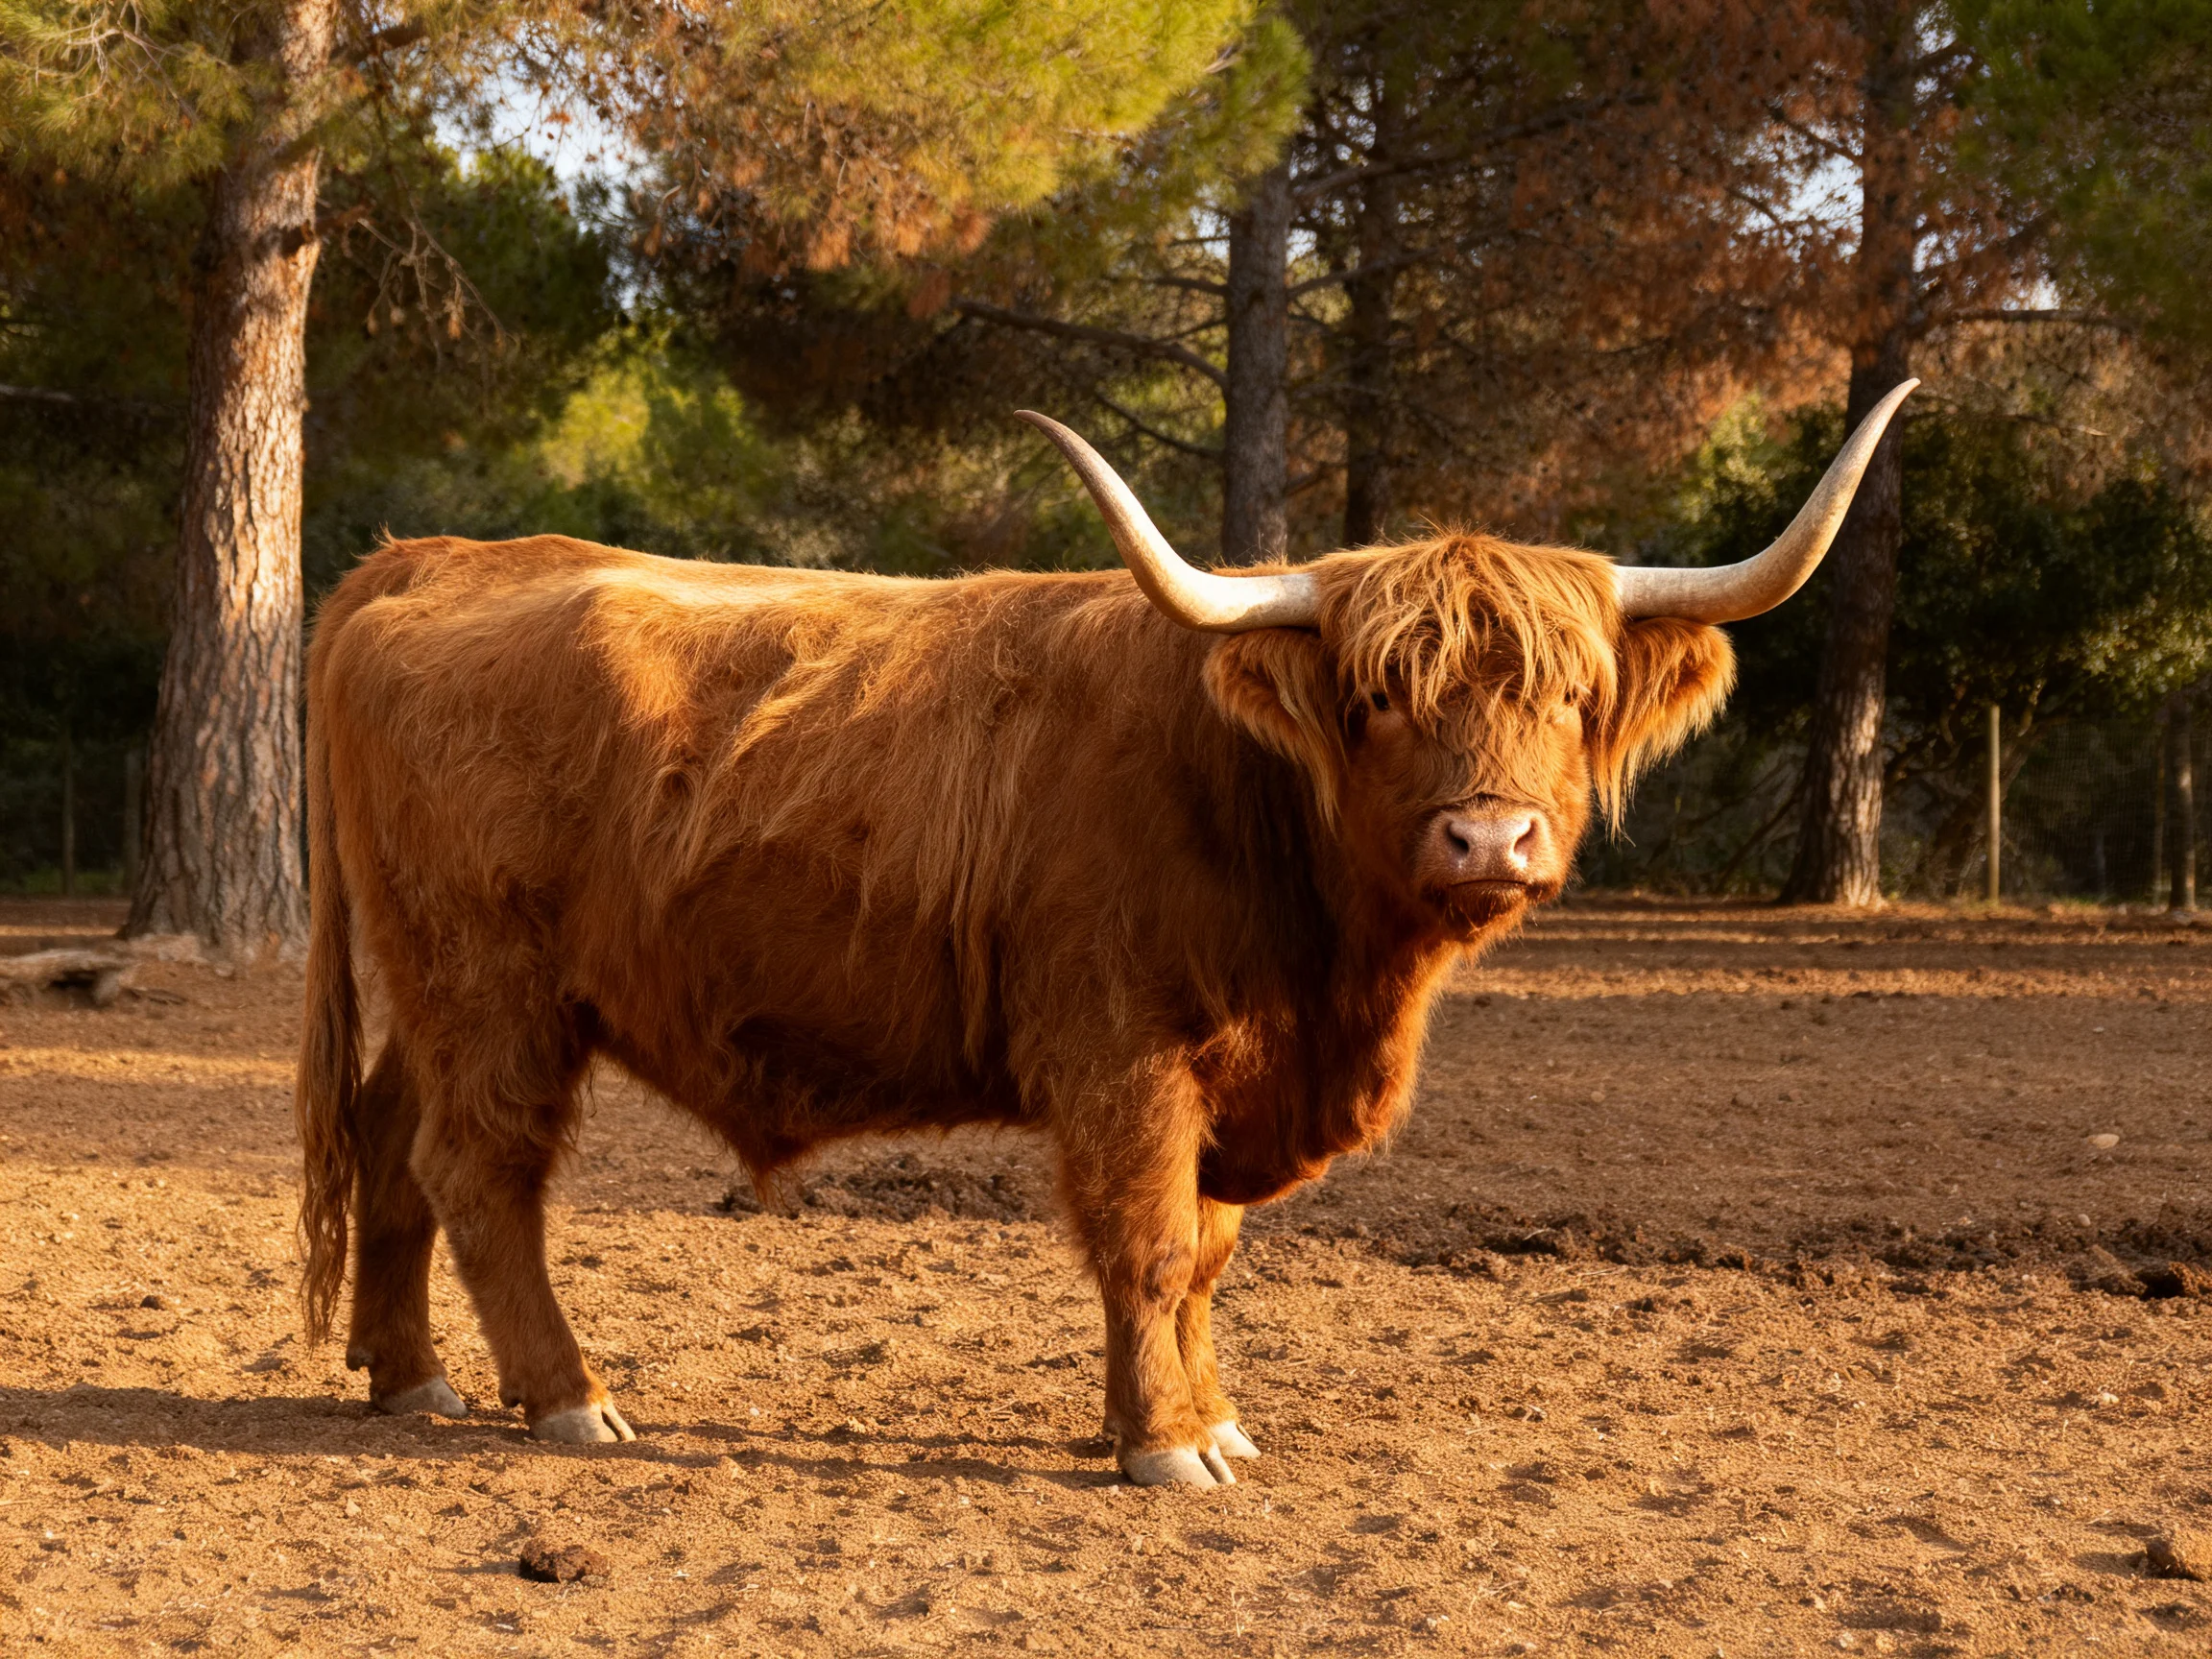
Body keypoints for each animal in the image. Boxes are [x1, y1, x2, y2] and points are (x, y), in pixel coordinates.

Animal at [295, 381, 1915, 1486]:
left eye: (1572, 698)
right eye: (1377, 695)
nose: (1491, 839)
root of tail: (428, 558)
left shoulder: (1232, 1078)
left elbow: (1206, 1255)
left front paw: (1213, 1418)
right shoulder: (1122, 1057)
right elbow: (1148, 1240)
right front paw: (1164, 1447)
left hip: (436, 989)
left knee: (391, 1139)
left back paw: (409, 1377)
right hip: (495, 988)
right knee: (481, 1171)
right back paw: (567, 1396)